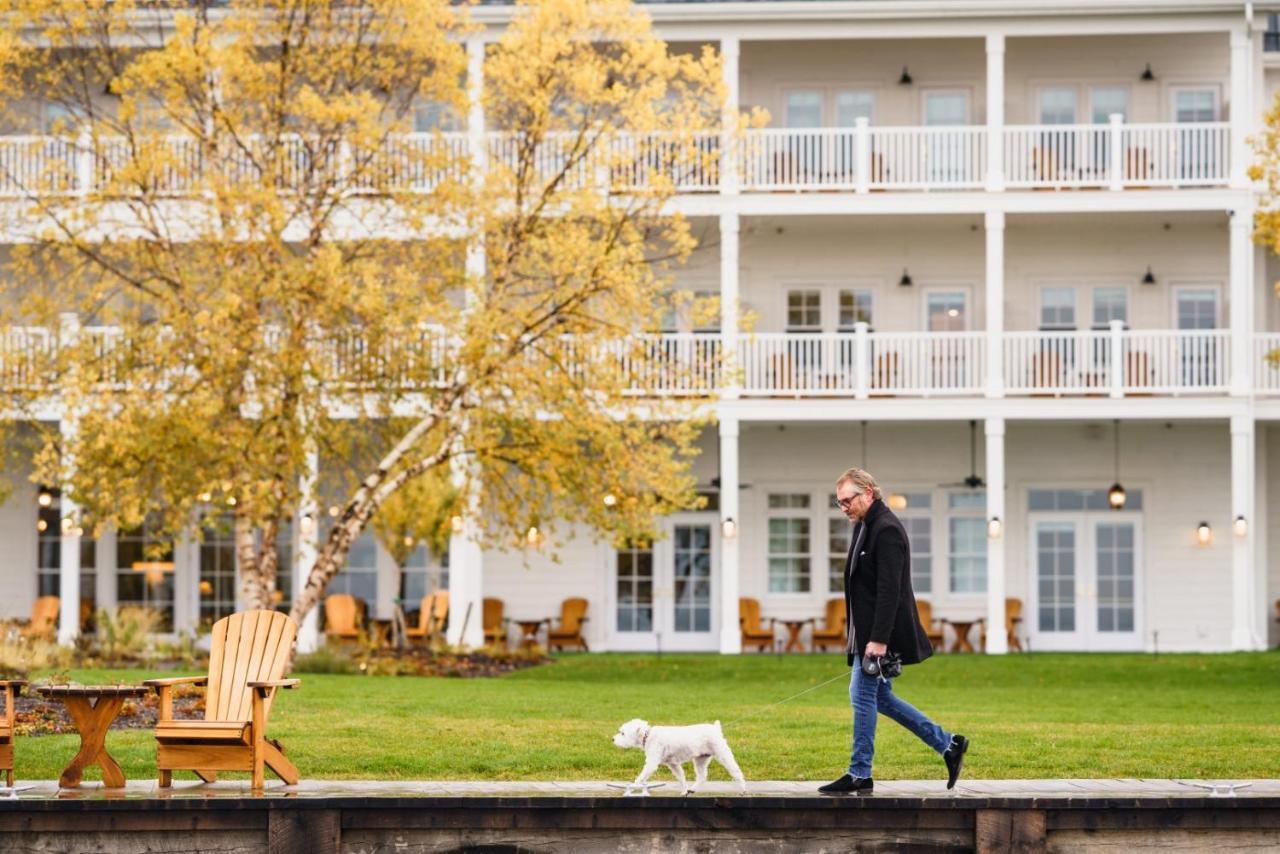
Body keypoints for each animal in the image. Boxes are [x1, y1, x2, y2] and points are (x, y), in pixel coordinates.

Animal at [611, 717, 747, 798]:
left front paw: (632, 789)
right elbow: (681, 778)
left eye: (623, 733)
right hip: (701, 759)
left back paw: (743, 789)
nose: (612, 739)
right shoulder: (673, 764)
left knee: (736, 771)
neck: (647, 736)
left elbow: (640, 778)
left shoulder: (651, 763)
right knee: (702, 776)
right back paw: (692, 789)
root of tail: (715, 728)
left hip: (723, 754)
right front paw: (684, 791)